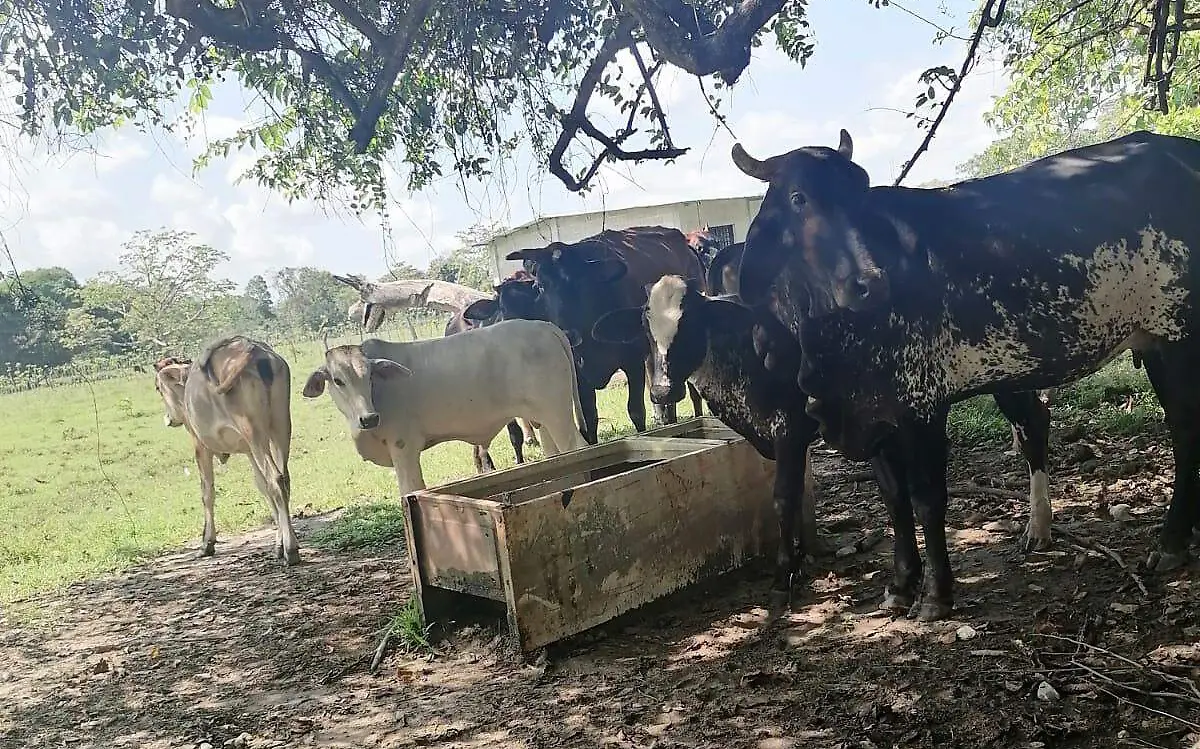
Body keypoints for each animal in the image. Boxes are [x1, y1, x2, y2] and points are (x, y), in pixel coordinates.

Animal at [152, 336, 300, 565]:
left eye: (158, 388)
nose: (168, 418)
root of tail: (253, 350)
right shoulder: (248, 450)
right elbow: (262, 486)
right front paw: (278, 541)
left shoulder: (200, 445)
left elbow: (207, 492)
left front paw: (207, 543)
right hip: (281, 425)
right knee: (283, 478)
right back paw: (285, 544)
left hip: (254, 431)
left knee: (275, 478)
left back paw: (291, 550)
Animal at [301, 319, 589, 495]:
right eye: (338, 380)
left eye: (369, 375)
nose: (369, 418)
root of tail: (542, 325)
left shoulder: (404, 447)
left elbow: (410, 490)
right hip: (544, 420)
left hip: (558, 415)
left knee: (579, 447)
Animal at [504, 226, 706, 435]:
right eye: (540, 287)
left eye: (581, 283)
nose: (568, 335)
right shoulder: (579, 374)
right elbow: (588, 419)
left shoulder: (633, 361)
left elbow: (635, 410)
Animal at [594, 274, 1052, 602]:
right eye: (644, 325)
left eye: (691, 322)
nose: (662, 390)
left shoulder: (789, 427)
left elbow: (783, 496)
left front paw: (784, 573)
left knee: (1034, 425)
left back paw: (1038, 529)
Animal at [732, 128, 1200, 621]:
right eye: (798, 198)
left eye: (860, 188)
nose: (871, 283)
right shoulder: (869, 414)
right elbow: (894, 500)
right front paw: (900, 585)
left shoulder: (922, 402)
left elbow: (927, 498)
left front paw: (935, 594)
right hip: (1148, 344)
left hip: (1178, 335)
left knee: (1185, 430)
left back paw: (1170, 542)